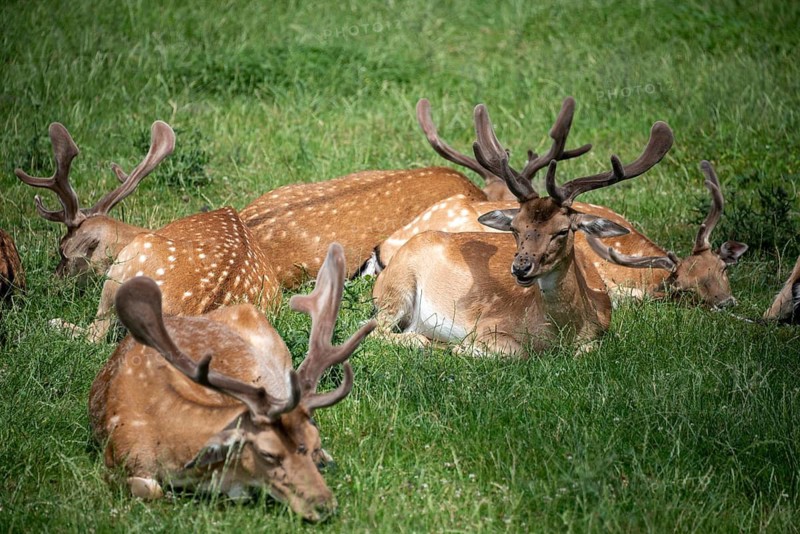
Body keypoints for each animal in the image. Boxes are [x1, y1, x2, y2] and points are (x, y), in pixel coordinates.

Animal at [372, 104, 673, 355]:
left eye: (563, 230)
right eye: (515, 228)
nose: (521, 267)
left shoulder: (602, 333)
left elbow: (589, 349)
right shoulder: (489, 325)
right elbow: (515, 351)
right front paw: (459, 348)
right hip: (395, 290)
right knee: (378, 329)